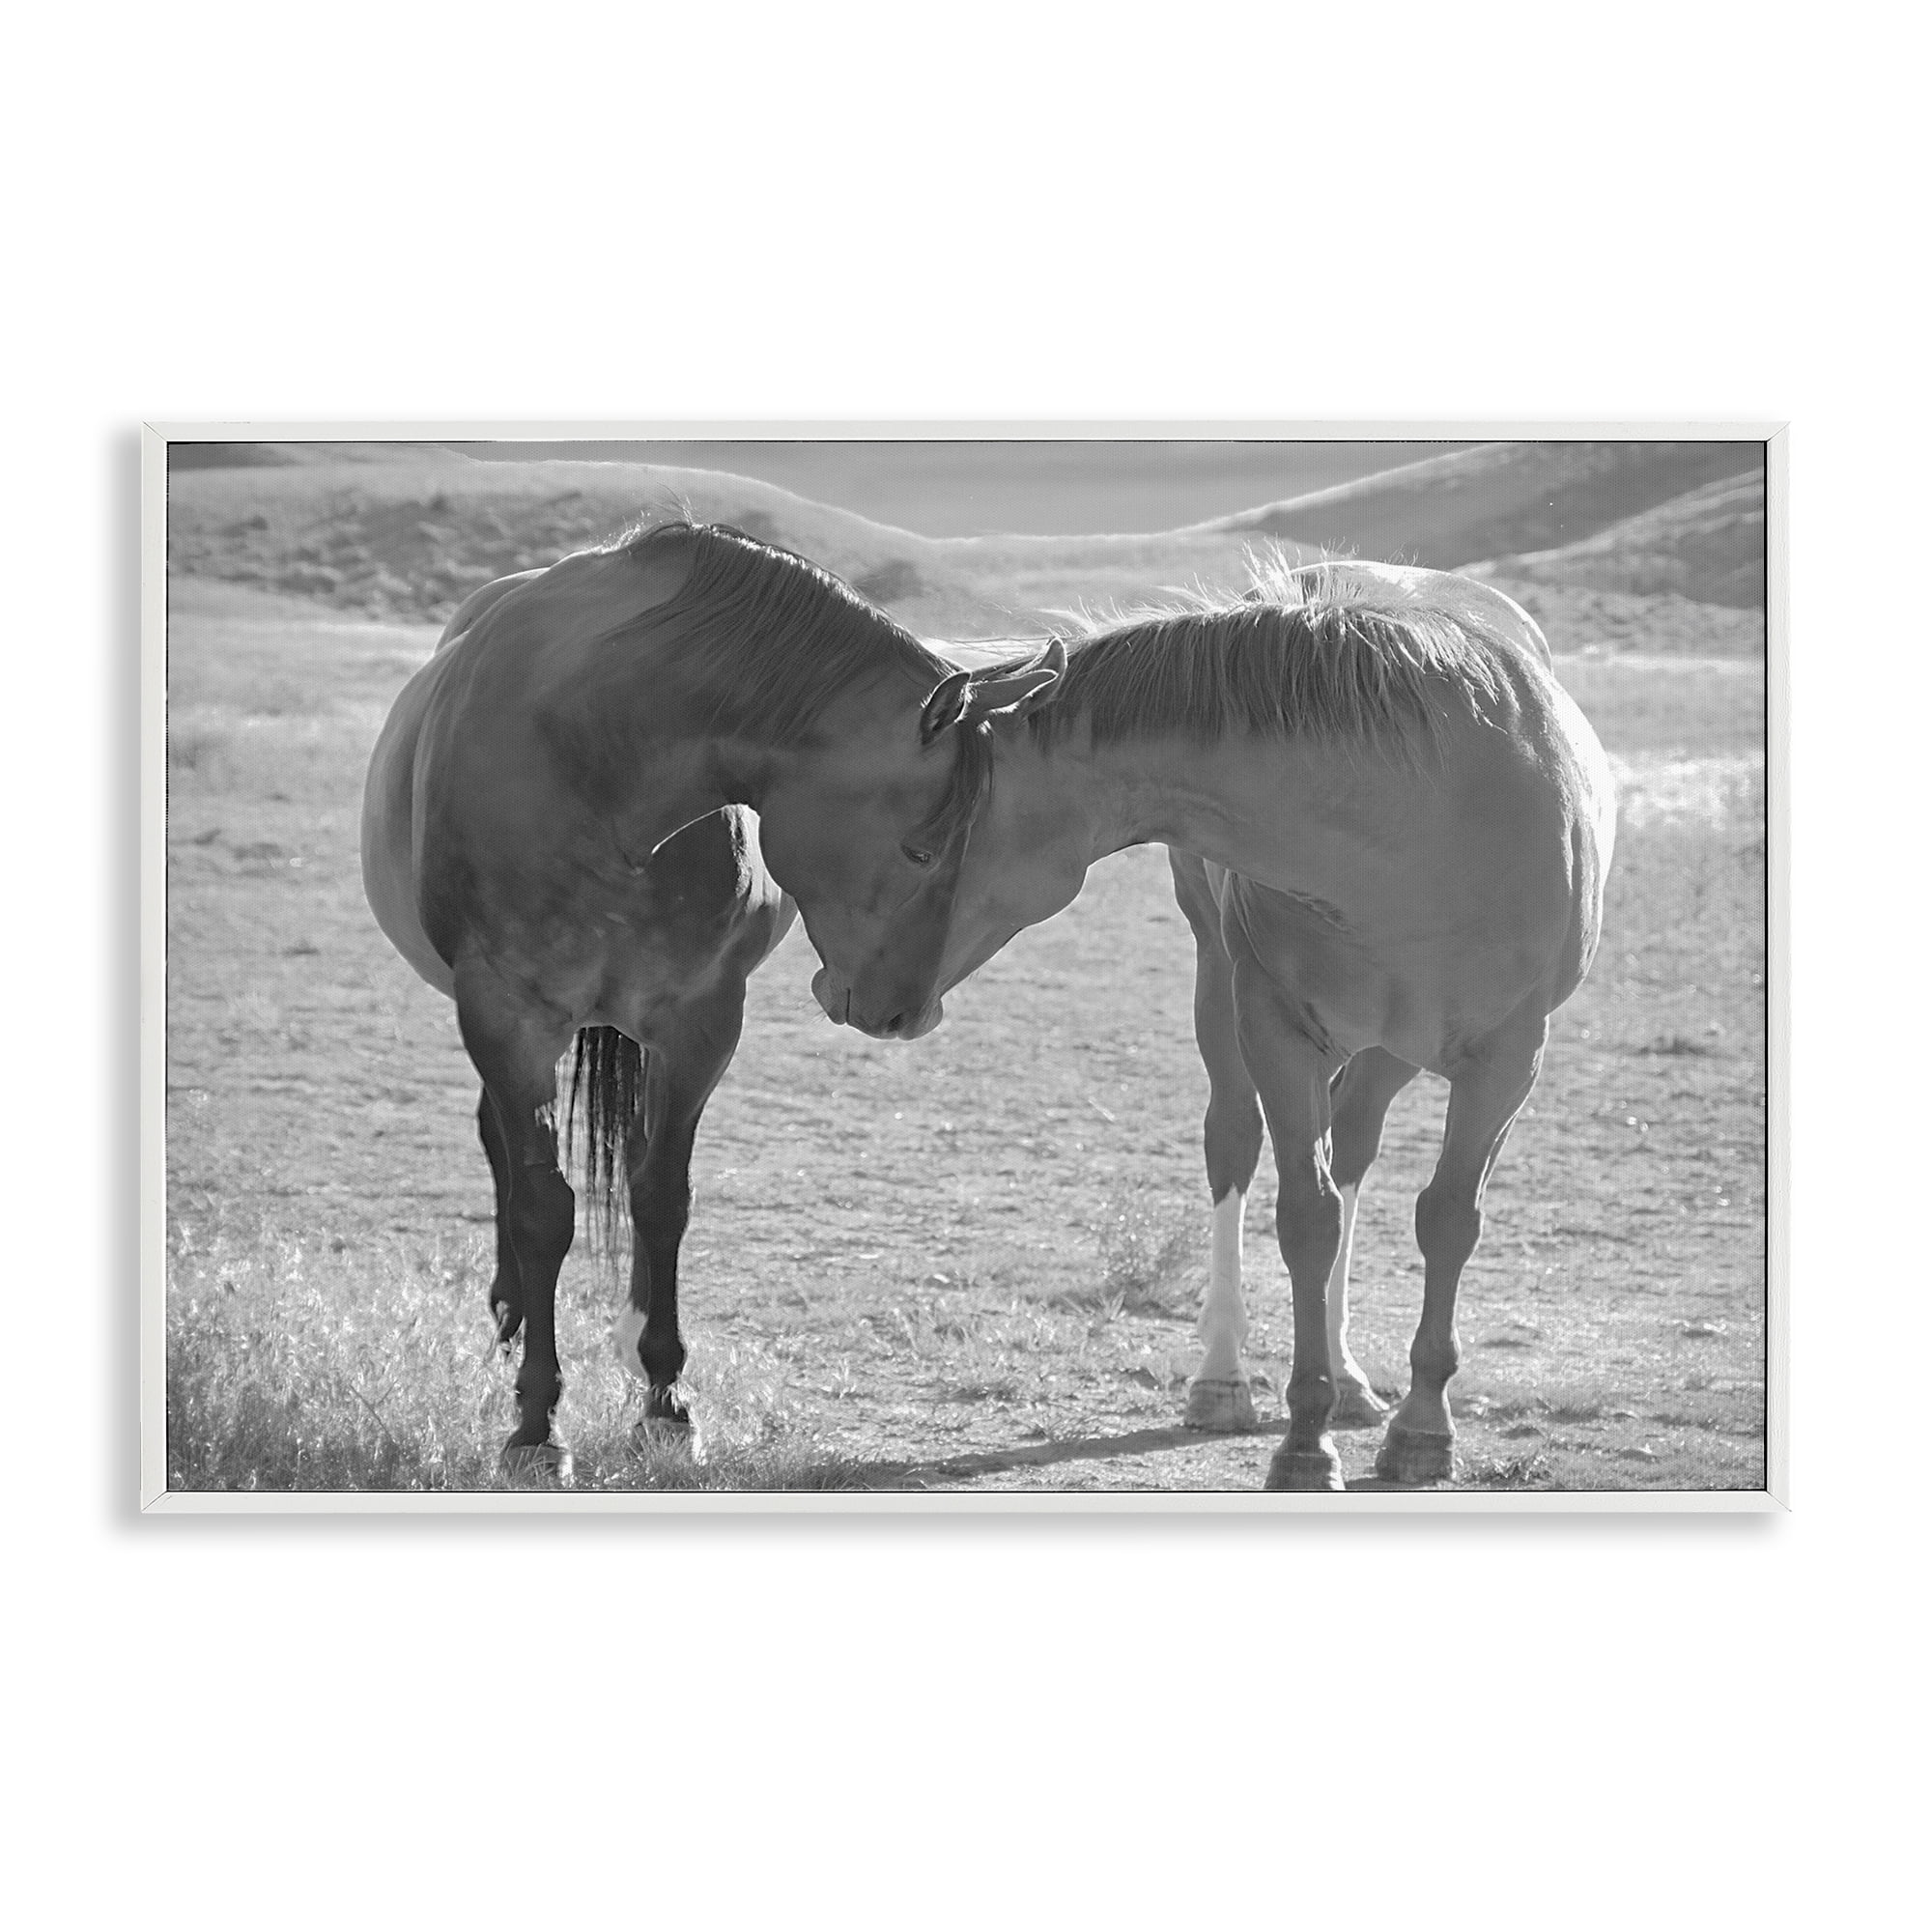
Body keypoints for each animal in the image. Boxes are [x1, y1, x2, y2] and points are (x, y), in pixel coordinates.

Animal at [360, 522, 1062, 1479]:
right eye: (922, 848)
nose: (907, 1013)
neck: (596, 758)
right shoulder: (506, 1017)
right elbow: (544, 1210)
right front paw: (537, 1424)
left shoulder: (698, 1023)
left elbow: (662, 1197)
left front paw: (664, 1402)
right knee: (502, 1152)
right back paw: (509, 1315)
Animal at [826, 557, 1616, 1492]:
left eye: (917, 845)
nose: (848, 994)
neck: (1420, 816)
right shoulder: (1274, 1029)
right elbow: (1306, 1219)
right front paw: (1306, 1441)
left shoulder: (1508, 1059)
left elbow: (1448, 1221)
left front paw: (1423, 1428)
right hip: (1223, 989)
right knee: (1235, 1145)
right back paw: (1223, 1379)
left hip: (1391, 1048)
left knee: (1355, 1148)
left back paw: (1352, 1378)